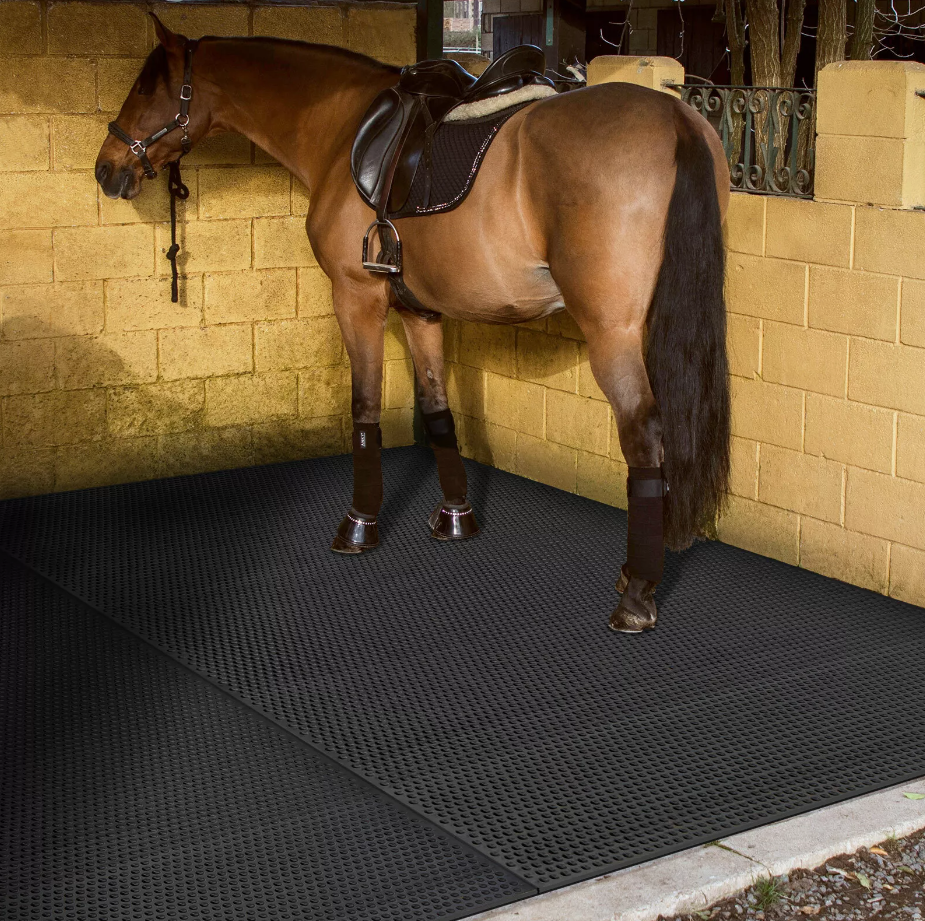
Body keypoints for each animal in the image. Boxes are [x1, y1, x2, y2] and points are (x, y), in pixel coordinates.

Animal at [96, 15, 731, 634]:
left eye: (146, 87)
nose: (106, 168)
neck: (343, 129)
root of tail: (676, 119)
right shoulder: (420, 311)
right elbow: (437, 409)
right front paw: (456, 516)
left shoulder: (356, 299)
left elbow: (365, 409)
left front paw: (359, 523)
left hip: (611, 332)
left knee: (644, 436)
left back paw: (638, 593)